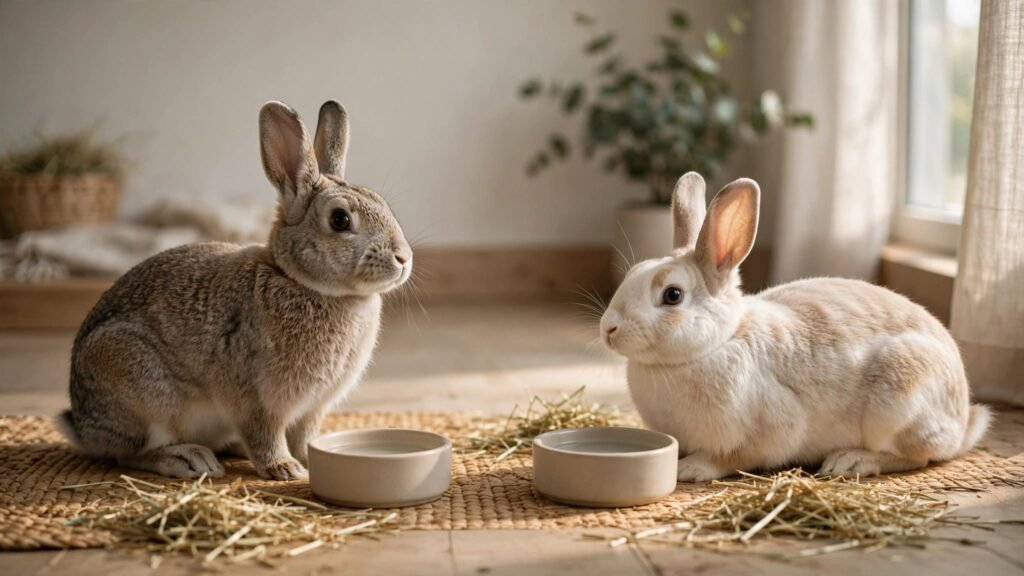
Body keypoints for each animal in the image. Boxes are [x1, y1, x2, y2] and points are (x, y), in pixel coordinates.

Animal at [56, 100, 412, 480]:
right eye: (340, 220)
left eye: (382, 203)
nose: (404, 258)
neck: (298, 279)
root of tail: (83, 427)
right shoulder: (257, 400)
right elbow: (265, 434)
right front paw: (285, 468)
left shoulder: (312, 407)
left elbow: (305, 435)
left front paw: (308, 458)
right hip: (137, 386)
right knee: (127, 455)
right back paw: (188, 459)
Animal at [600, 172, 991, 482]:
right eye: (633, 273)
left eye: (673, 295)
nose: (608, 329)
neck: (719, 342)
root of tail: (961, 422)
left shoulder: (769, 429)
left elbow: (733, 457)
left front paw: (691, 469)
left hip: (899, 399)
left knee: (915, 456)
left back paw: (850, 461)